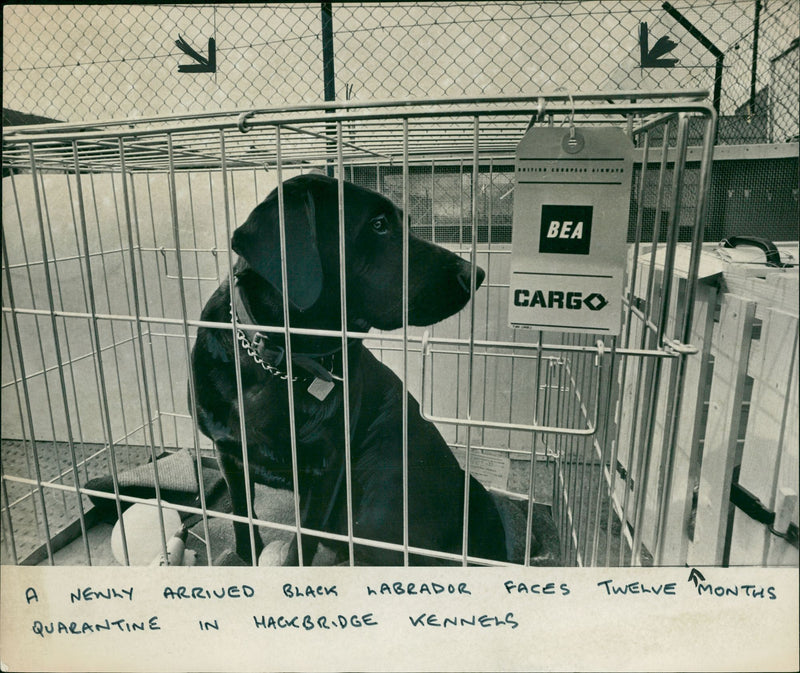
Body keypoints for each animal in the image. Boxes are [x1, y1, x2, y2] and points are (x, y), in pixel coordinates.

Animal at [191, 172, 510, 560]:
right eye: (378, 225)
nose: (475, 273)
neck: (282, 361)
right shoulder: (229, 454)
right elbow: (242, 515)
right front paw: (246, 555)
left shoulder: (326, 472)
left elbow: (300, 546)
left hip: (379, 497)